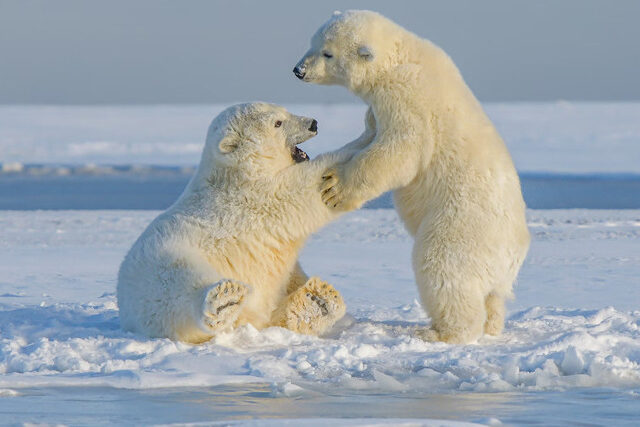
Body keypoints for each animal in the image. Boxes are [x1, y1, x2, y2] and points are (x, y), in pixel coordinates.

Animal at [117, 103, 350, 343]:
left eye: (286, 111)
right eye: (278, 122)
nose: (313, 123)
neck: (236, 173)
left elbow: (288, 273)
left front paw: (316, 299)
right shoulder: (254, 198)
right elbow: (299, 191)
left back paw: (318, 299)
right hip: (162, 264)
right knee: (179, 284)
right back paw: (224, 300)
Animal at [293, 10, 530, 344]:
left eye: (327, 53)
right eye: (312, 43)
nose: (299, 70)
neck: (402, 56)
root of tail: (513, 255)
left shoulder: (407, 97)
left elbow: (401, 149)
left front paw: (335, 188)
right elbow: (373, 133)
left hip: (461, 227)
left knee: (442, 268)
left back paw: (440, 332)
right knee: (493, 297)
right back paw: (492, 326)